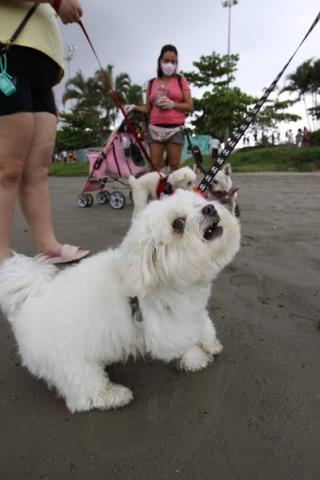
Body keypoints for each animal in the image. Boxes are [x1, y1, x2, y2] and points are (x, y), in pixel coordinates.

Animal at [0, 190, 240, 412]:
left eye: (199, 203)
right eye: (178, 224)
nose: (210, 208)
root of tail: (26, 304)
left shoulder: (191, 310)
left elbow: (202, 324)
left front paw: (209, 342)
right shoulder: (168, 328)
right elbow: (185, 344)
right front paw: (197, 359)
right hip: (70, 363)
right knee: (85, 393)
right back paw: (113, 395)